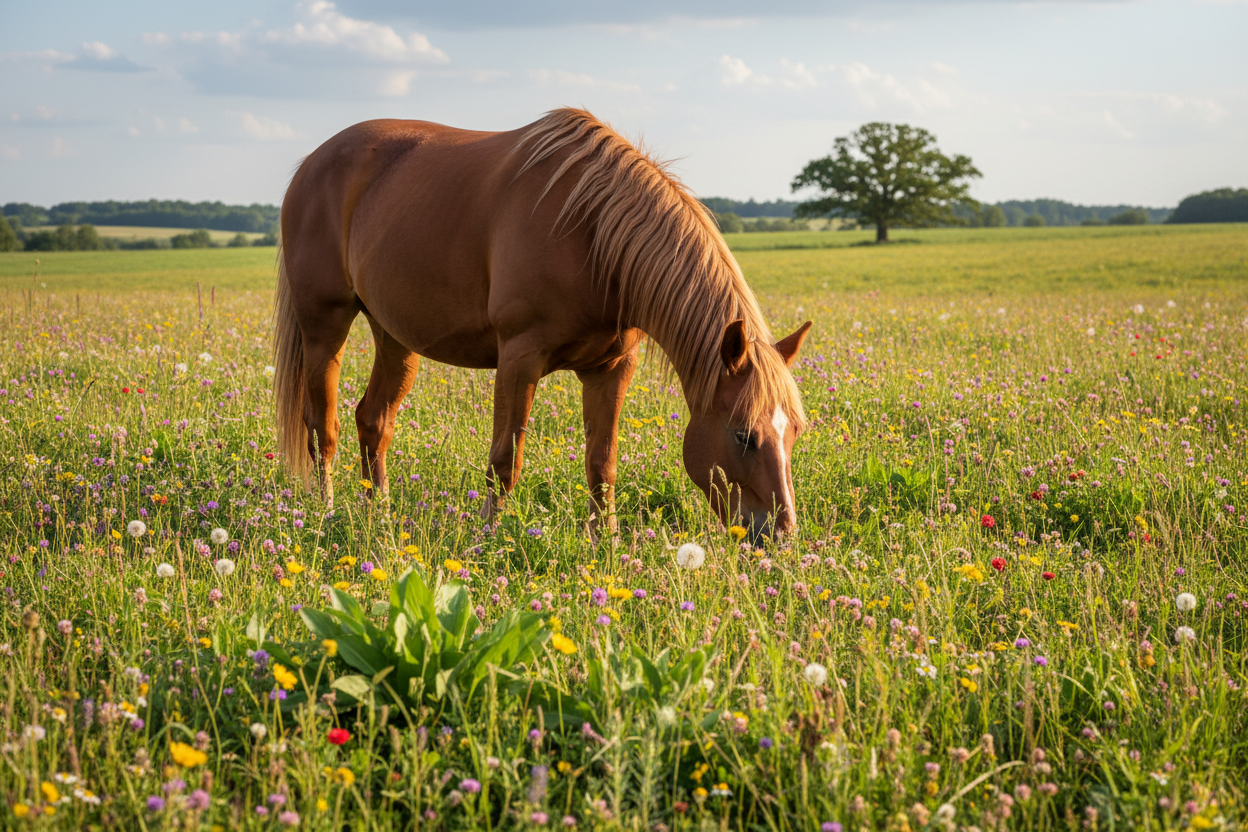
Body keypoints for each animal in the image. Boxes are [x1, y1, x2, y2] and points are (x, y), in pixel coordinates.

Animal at [273, 108, 811, 538]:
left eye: (794, 432)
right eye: (742, 434)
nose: (781, 533)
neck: (591, 234)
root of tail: (310, 164)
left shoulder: (612, 368)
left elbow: (602, 464)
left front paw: (605, 544)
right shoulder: (519, 359)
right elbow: (504, 461)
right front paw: (486, 540)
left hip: (394, 337)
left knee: (374, 421)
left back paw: (379, 518)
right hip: (324, 326)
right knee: (323, 427)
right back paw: (325, 513)